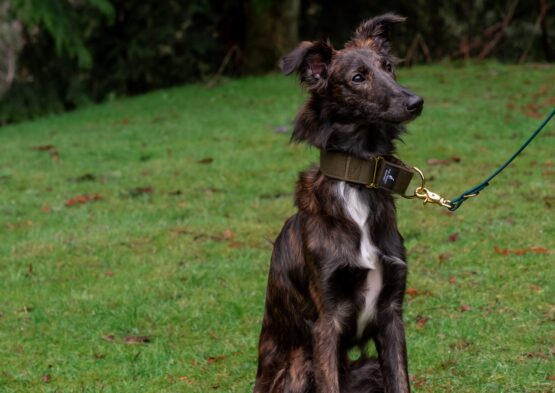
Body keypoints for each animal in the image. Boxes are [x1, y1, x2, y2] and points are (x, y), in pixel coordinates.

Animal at [254, 13, 424, 392]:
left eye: (388, 67)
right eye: (357, 78)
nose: (416, 102)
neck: (357, 181)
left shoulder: (391, 314)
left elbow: (401, 382)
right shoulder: (326, 321)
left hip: (369, 368)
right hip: (299, 365)